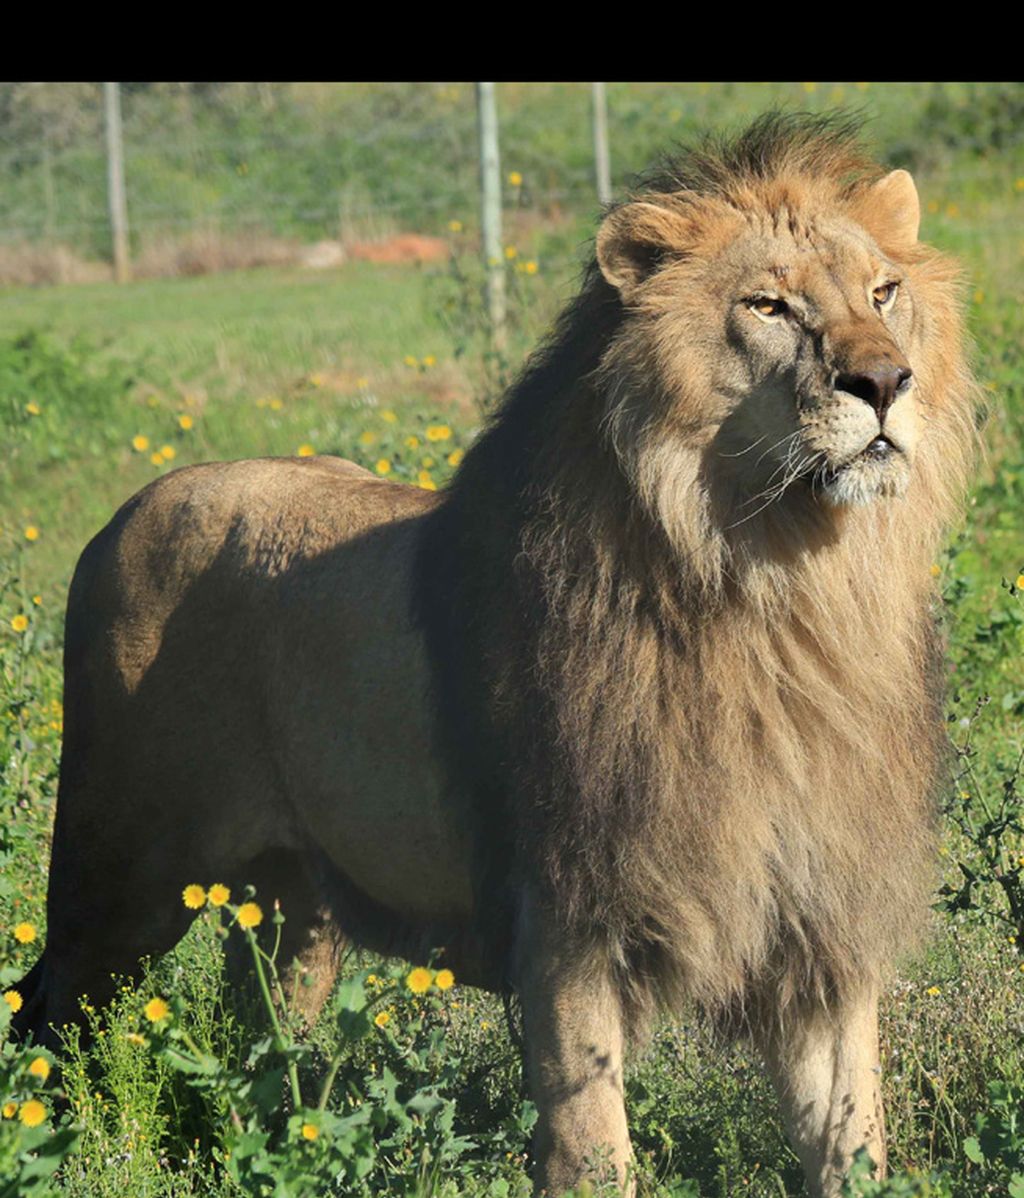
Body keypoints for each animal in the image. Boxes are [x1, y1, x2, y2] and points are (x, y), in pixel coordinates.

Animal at [13, 114, 977, 1198]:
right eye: (767, 306)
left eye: (883, 293)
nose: (884, 381)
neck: (781, 595)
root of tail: (122, 514)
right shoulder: (566, 915)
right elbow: (592, 1142)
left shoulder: (824, 922)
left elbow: (851, 1136)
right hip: (119, 875)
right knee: (50, 1020)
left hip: (294, 908)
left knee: (259, 1044)